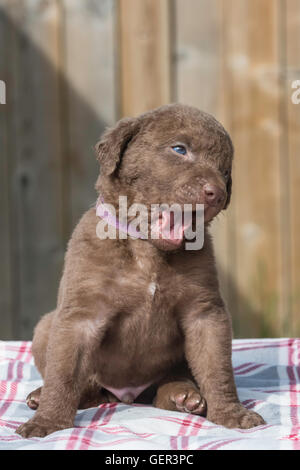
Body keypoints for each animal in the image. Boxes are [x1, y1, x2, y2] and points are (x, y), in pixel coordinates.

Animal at [16, 104, 264, 438]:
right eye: (179, 149)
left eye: (225, 170)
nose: (217, 193)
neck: (148, 250)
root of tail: (128, 396)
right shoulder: (81, 316)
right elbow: (64, 373)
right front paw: (48, 421)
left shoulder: (205, 313)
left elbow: (218, 369)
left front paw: (231, 414)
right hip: (47, 326)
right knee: (87, 388)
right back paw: (41, 396)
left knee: (167, 385)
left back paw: (183, 395)